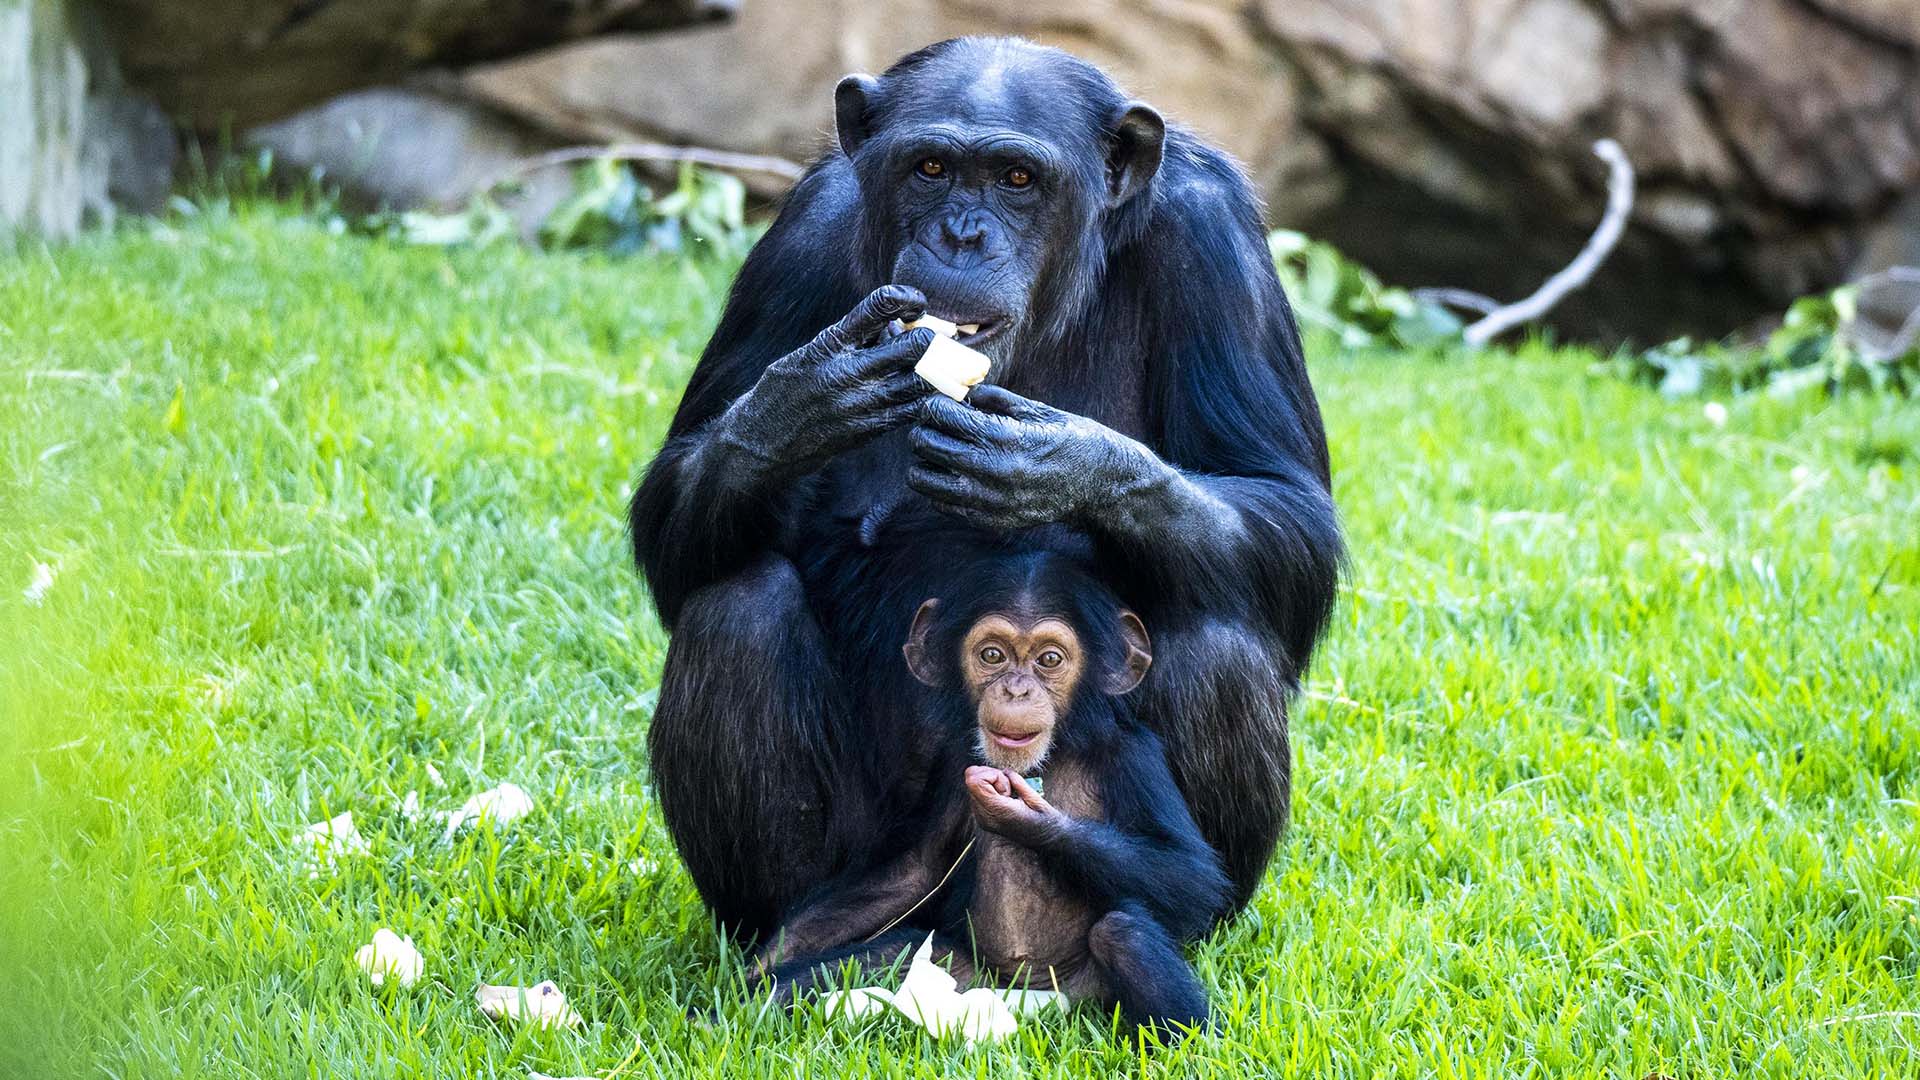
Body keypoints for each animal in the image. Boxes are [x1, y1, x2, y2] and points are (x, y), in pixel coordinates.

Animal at [629, 37, 1336, 937]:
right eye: (931, 167)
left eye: (1018, 179)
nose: (961, 235)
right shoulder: (798, 237)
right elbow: (678, 511)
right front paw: (802, 403)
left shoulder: (1216, 242)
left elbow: (1285, 503)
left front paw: (1062, 466)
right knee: (737, 611)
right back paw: (785, 929)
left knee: (1219, 638)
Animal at [748, 545, 1228, 1037]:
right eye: (993, 655)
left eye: (1049, 660)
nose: (1016, 690)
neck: (1052, 753)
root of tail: (1033, 1000)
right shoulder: (952, 761)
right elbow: (917, 867)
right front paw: (768, 957)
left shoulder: (1135, 758)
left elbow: (1188, 873)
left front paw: (1027, 819)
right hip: (958, 968)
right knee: (887, 953)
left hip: (1083, 988)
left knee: (1124, 934)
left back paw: (1187, 1041)